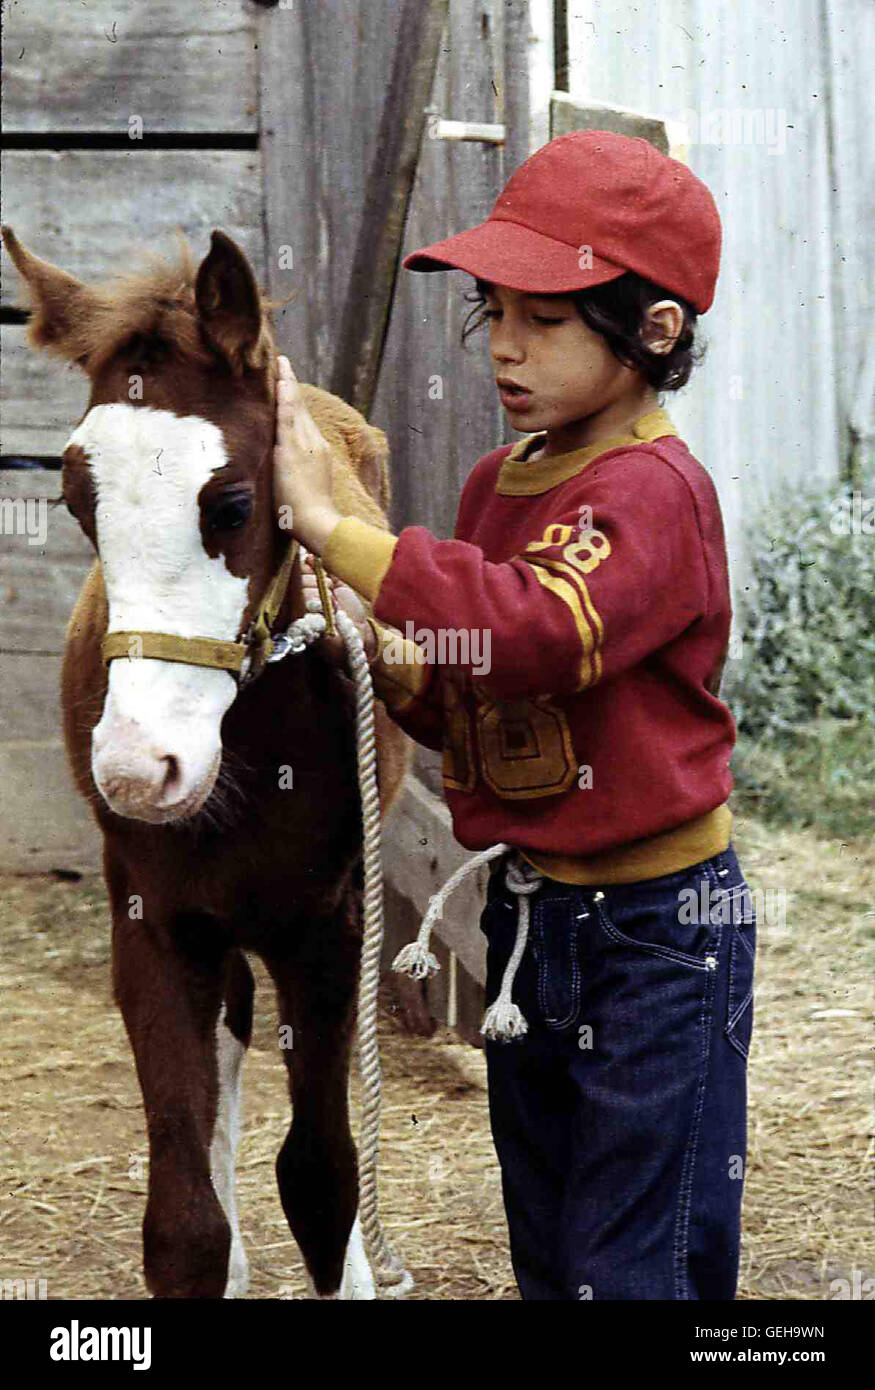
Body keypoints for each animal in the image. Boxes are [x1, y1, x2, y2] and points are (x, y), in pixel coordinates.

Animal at [2, 222, 408, 1295]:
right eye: (75, 500)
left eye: (228, 502)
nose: (140, 772)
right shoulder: (156, 924)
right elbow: (182, 1223)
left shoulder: (327, 927)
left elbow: (322, 1176)